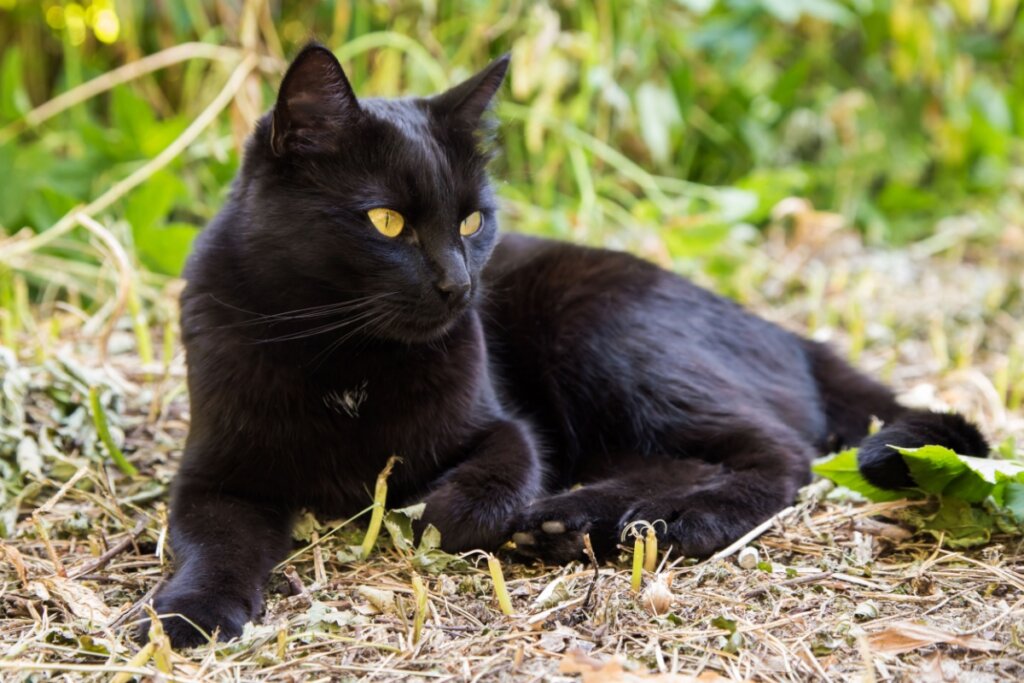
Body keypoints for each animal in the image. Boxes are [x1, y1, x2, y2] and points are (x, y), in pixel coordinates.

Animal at [142, 46, 983, 647]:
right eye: (387, 222)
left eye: (472, 221)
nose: (459, 286)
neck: (345, 360)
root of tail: (787, 332)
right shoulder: (214, 474)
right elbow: (209, 539)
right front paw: (189, 613)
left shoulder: (506, 428)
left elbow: (480, 490)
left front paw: (442, 509)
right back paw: (585, 520)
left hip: (603, 332)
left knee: (775, 452)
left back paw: (652, 522)